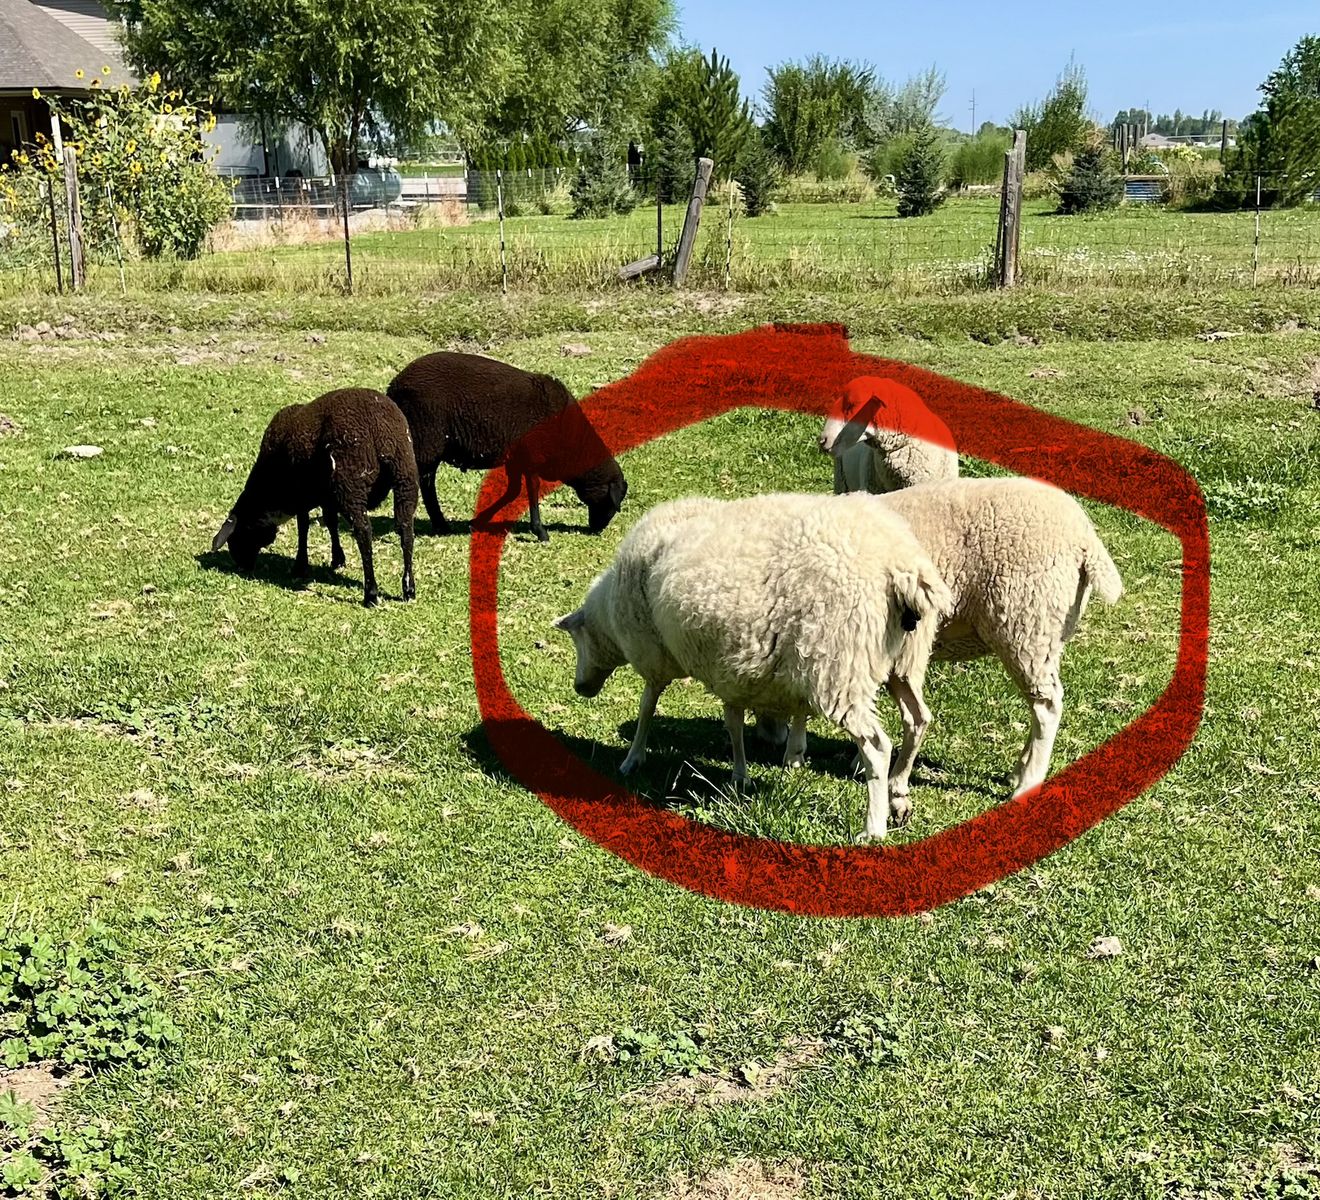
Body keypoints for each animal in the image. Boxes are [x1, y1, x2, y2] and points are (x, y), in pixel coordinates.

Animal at [211, 387, 418, 608]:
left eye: (236, 536)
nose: (243, 566)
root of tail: (381, 432)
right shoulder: (327, 497)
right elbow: (331, 523)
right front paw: (337, 559)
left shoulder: (300, 495)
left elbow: (303, 527)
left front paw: (301, 565)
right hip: (405, 477)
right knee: (406, 530)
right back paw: (408, 589)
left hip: (351, 484)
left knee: (364, 534)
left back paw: (371, 593)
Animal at [385, 351, 628, 543]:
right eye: (611, 500)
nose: (597, 529)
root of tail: (394, 385)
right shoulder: (532, 456)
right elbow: (531, 490)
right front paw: (540, 531)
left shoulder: (518, 458)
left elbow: (513, 491)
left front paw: (478, 520)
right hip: (426, 442)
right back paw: (418, 524)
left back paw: (439, 524)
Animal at [554, 492, 953, 841]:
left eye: (576, 638)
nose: (579, 688)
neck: (610, 615)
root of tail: (903, 565)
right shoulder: (739, 668)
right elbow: (747, 722)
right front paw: (767, 765)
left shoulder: (656, 656)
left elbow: (648, 707)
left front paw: (632, 759)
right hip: (902, 662)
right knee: (918, 719)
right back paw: (898, 795)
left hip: (840, 666)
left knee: (877, 746)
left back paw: (874, 828)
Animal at [757, 478, 1124, 801]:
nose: (768, 738)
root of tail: (1085, 537)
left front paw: (795, 754)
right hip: (1048, 633)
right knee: (1040, 704)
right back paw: (1018, 771)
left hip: (1026, 622)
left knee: (1047, 706)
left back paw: (1026, 783)